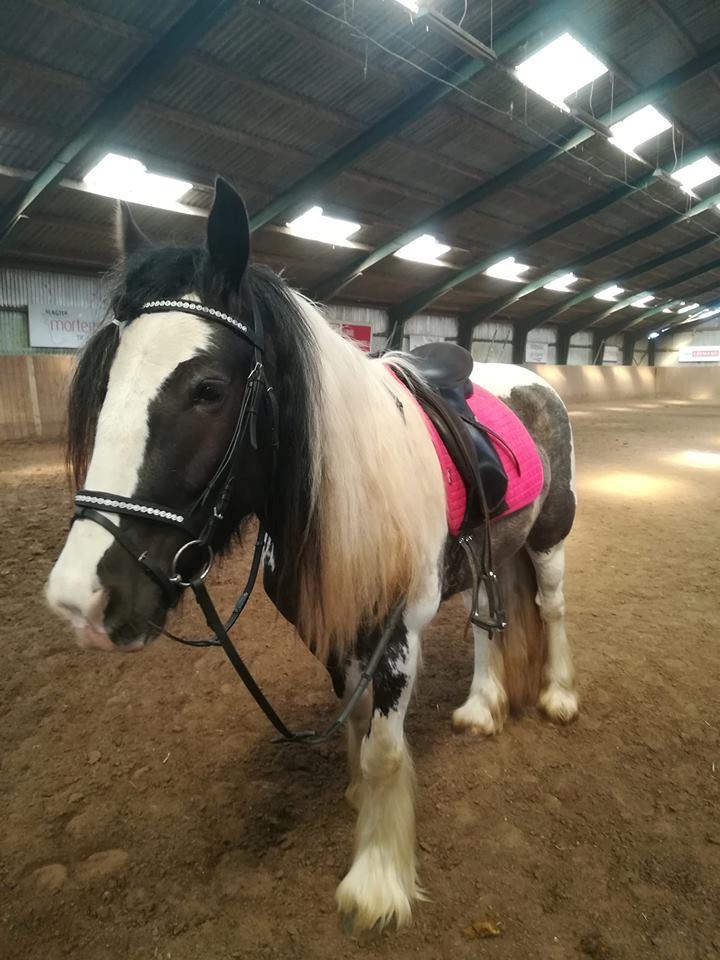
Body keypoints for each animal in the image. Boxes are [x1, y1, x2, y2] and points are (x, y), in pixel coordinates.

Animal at [46, 176, 580, 932]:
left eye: (208, 389)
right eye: (103, 385)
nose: (80, 598)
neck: (347, 486)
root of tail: (528, 378)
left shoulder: (395, 633)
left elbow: (385, 750)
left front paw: (377, 882)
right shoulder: (332, 624)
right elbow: (353, 719)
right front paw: (357, 802)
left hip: (550, 536)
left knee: (552, 608)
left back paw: (559, 695)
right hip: (489, 552)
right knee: (488, 621)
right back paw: (482, 707)